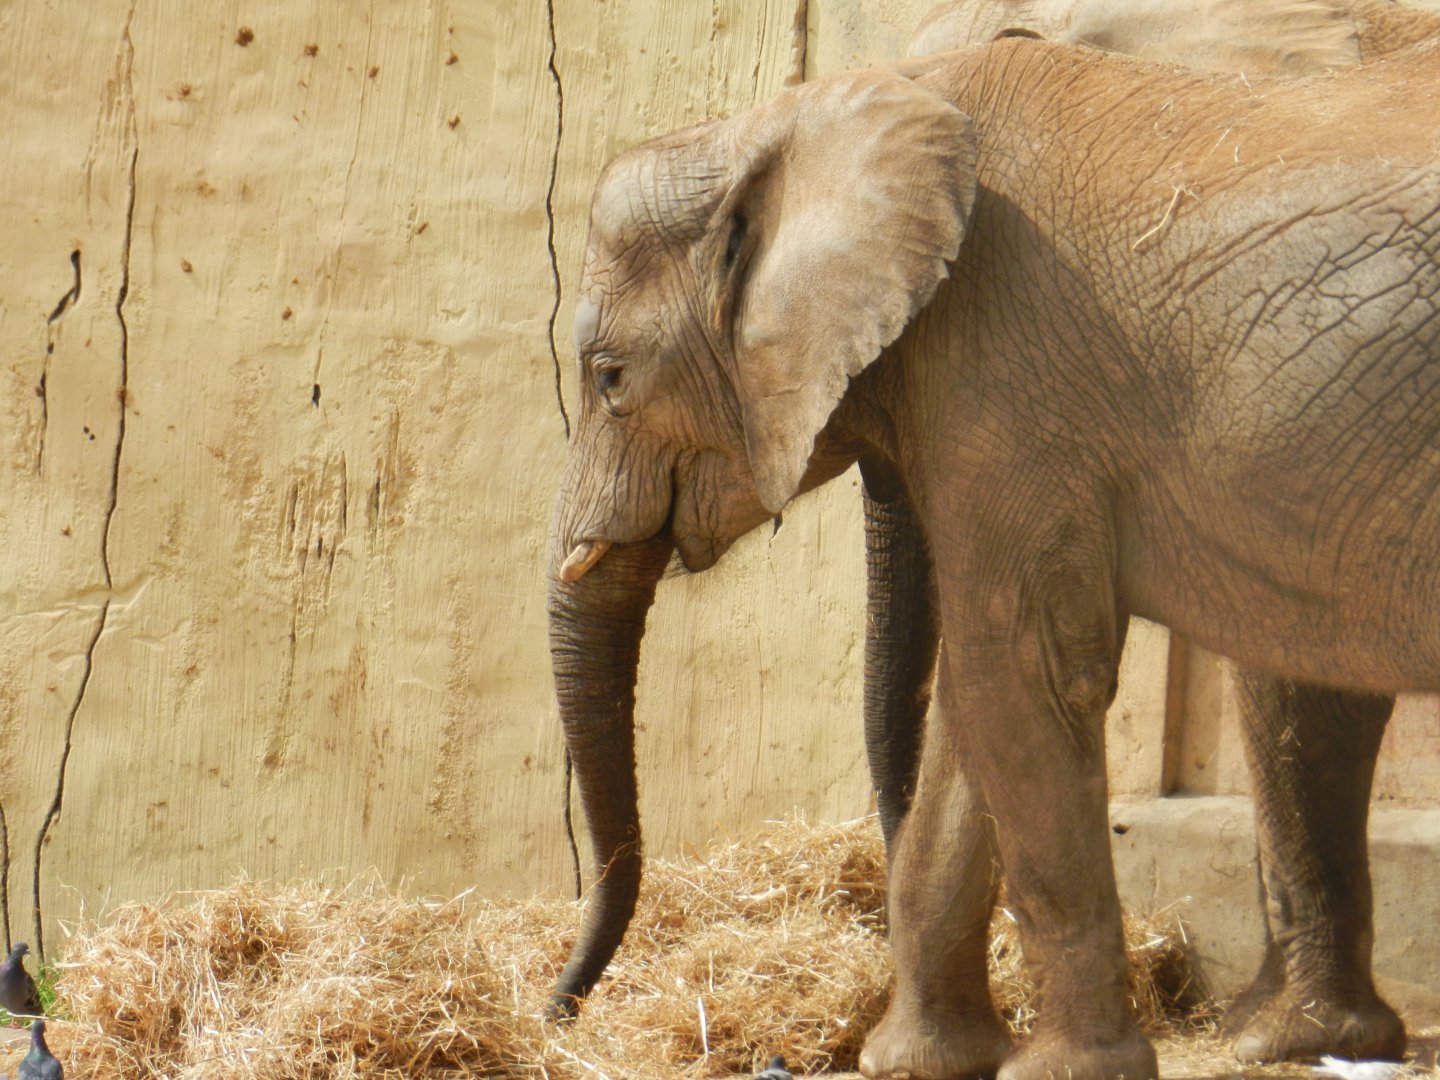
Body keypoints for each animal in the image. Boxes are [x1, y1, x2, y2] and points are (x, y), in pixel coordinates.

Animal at [545, 23, 1440, 1080]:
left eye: (609, 378)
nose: (556, 1013)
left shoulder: (1003, 376)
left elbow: (1018, 671)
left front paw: (1062, 1071)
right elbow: (975, 715)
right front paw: (914, 1063)